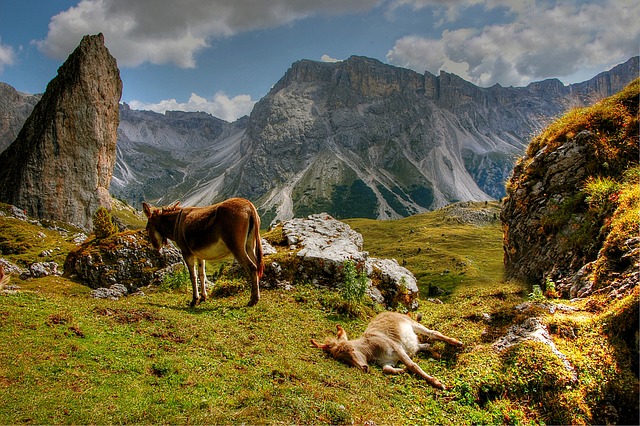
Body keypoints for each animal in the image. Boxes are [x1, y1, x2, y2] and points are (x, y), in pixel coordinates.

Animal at [312, 310, 462, 390]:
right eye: (343, 360)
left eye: (351, 350)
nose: (364, 368)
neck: (372, 349)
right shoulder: (387, 361)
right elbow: (387, 369)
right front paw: (402, 370)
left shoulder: (397, 348)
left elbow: (413, 366)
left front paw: (437, 383)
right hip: (412, 344)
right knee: (425, 345)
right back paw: (437, 354)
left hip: (414, 325)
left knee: (433, 333)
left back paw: (457, 343)